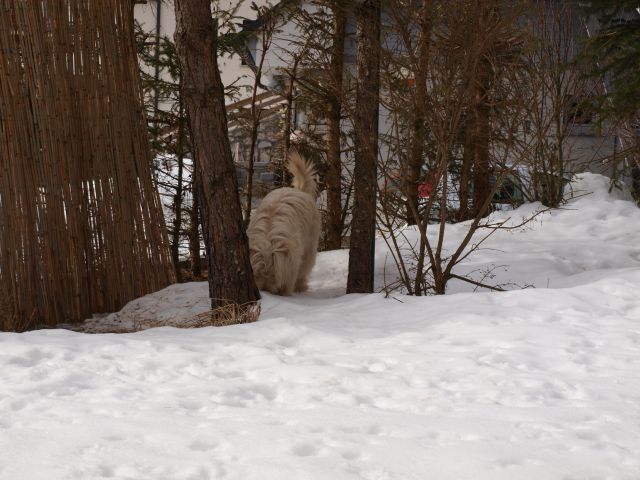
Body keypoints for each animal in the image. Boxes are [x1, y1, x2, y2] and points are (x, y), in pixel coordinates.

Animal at [249, 150, 322, 294]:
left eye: (273, 273)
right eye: (258, 272)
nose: (265, 289)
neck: (268, 236)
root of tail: (298, 190)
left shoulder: (291, 262)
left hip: (309, 246)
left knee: (304, 268)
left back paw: (300, 287)